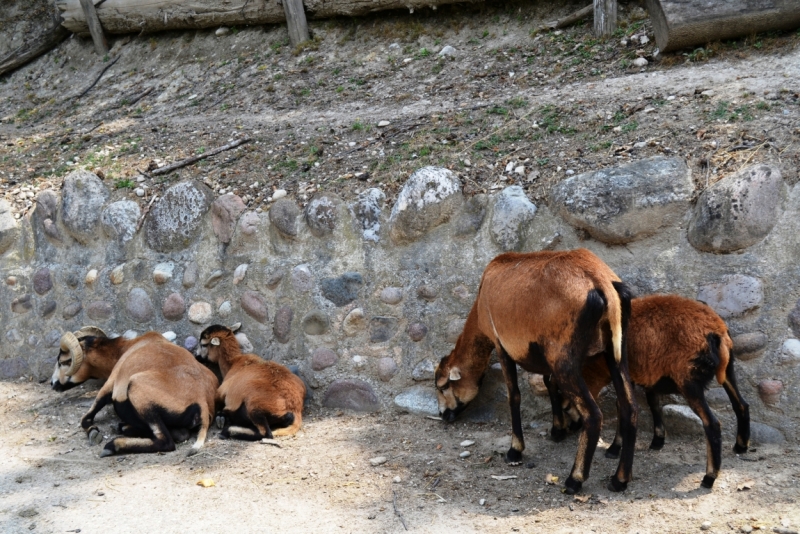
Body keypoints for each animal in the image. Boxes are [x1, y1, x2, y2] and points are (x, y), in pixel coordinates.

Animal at [55, 328, 219, 458]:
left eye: (63, 361)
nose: (53, 384)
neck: (126, 348)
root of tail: (201, 400)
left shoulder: (110, 384)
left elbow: (87, 417)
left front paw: (93, 433)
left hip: (137, 390)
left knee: (166, 442)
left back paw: (113, 445)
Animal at [434, 249, 636, 496]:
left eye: (443, 386)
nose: (443, 414)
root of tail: (601, 280)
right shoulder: (545, 360)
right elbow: (549, 385)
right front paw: (557, 430)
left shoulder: (502, 347)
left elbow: (514, 396)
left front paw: (515, 451)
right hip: (615, 352)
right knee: (629, 407)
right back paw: (619, 479)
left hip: (563, 358)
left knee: (594, 414)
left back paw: (574, 479)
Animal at [548, 296, 748, 492]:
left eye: (565, 404)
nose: (570, 429)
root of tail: (717, 332)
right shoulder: (647, 374)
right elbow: (652, 403)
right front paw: (657, 440)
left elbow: (623, 408)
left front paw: (614, 449)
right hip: (728, 370)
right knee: (741, 404)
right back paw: (741, 446)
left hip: (689, 381)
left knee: (712, 423)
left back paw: (709, 477)